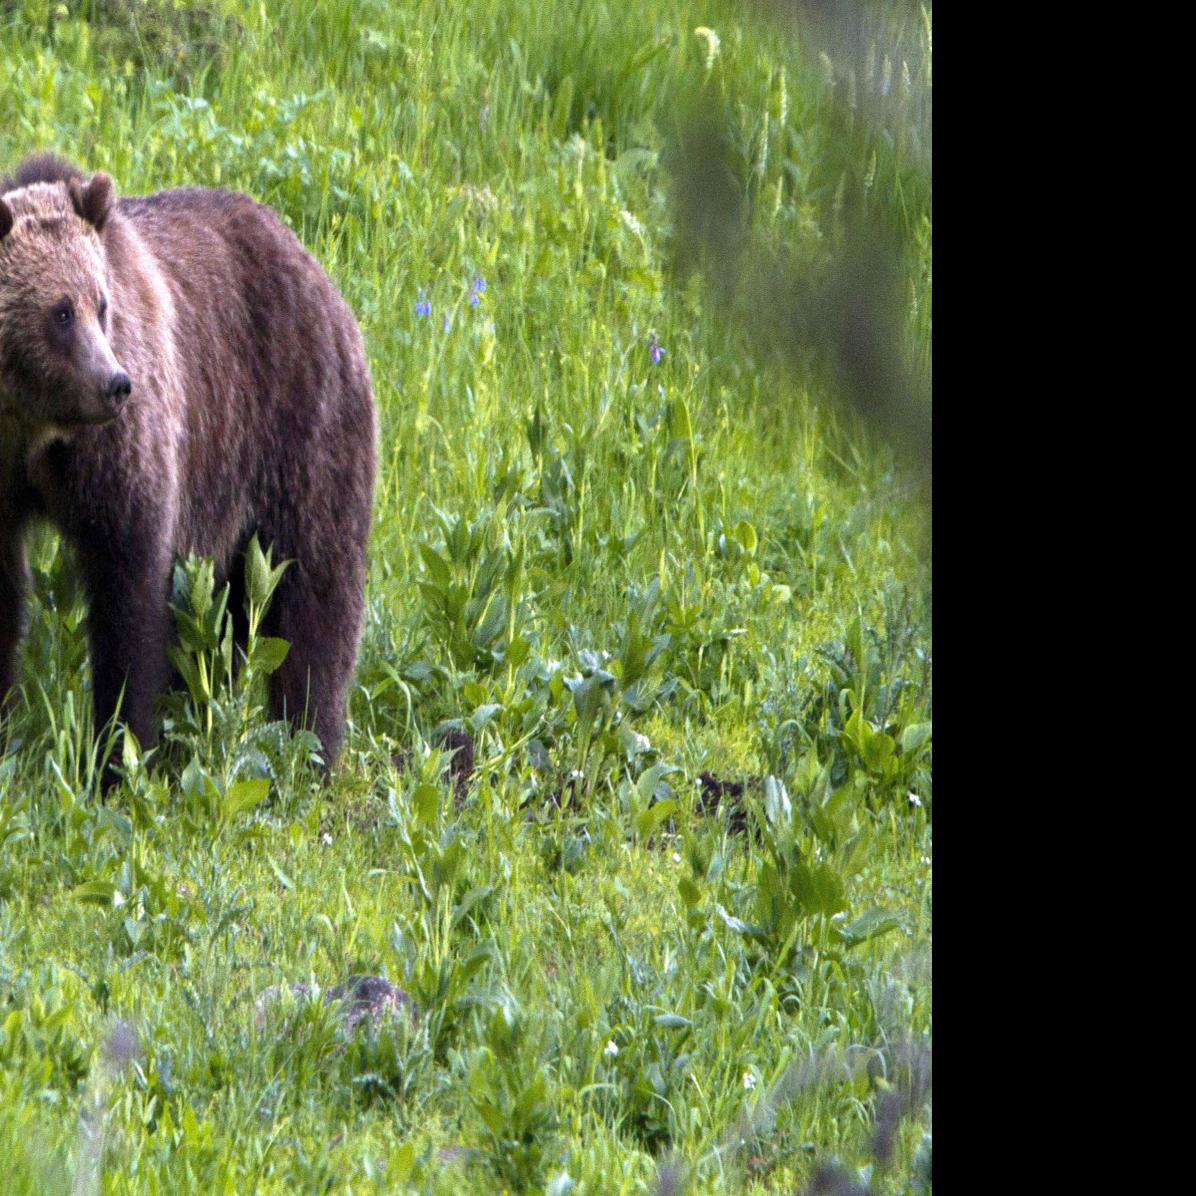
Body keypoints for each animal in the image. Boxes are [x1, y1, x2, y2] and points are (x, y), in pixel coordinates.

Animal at [0, 153, 377, 780]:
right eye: (59, 311)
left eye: (101, 304)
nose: (114, 383)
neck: (32, 427)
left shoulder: (119, 455)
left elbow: (129, 591)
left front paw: (121, 754)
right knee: (226, 620)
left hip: (299, 426)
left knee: (315, 594)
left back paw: (309, 749)